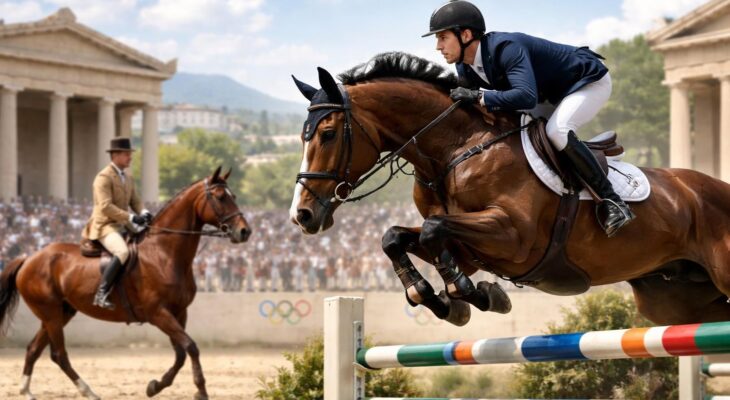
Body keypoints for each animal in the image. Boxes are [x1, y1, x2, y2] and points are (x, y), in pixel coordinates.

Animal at [0, 166, 251, 400]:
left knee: (35, 349)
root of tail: (28, 258)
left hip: (60, 312)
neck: (163, 253)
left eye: (234, 195)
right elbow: (191, 347)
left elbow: (180, 354)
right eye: (220, 197)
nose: (244, 231)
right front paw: (200, 390)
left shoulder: (179, 312)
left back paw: (28, 391)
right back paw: (88, 392)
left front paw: (155, 386)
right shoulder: (158, 313)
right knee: (59, 354)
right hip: (51, 313)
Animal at [288, 52, 730, 328]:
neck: (455, 149)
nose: (302, 215)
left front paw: (469, 294)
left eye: (327, 134)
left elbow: (433, 229)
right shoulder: (468, 248)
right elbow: (396, 237)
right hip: (671, 300)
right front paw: (438, 298)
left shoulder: (513, 236)